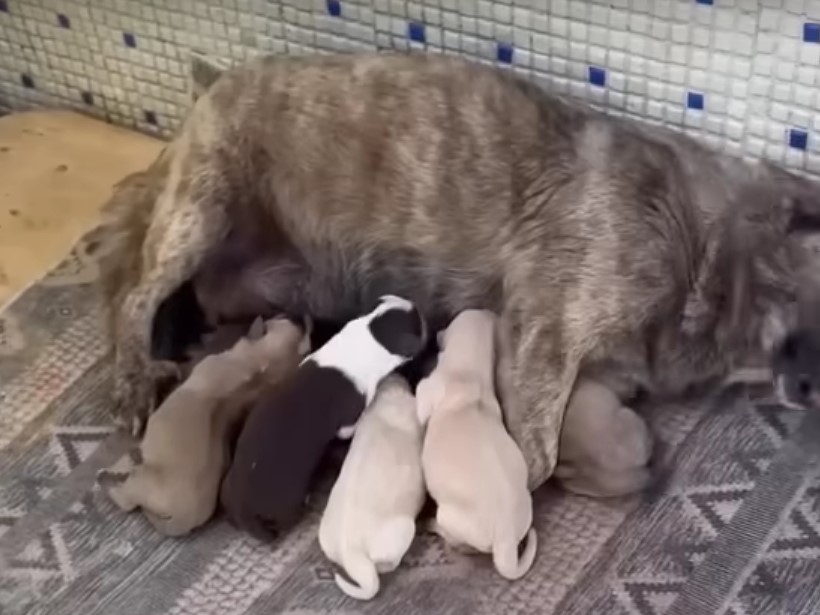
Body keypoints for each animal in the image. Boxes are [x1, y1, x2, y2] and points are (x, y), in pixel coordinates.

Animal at [98, 316, 310, 536]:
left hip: (138, 479)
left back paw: (108, 477)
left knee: (126, 497)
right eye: (279, 320)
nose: (288, 315)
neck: (261, 364)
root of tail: (179, 518)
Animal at [99, 55, 820, 494]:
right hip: (200, 206)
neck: (713, 244)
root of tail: (209, 81)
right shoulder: (547, 327)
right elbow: (535, 459)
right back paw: (136, 376)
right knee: (132, 298)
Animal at [223, 296, 430, 540]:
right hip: (284, 504)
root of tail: (243, 508)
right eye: (418, 324)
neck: (369, 334)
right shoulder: (348, 419)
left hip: (228, 488)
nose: (425, 313)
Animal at [416, 310, 540, 580]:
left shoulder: (427, 390)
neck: (469, 373)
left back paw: (429, 524)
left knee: (456, 540)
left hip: (450, 518)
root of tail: (505, 543)